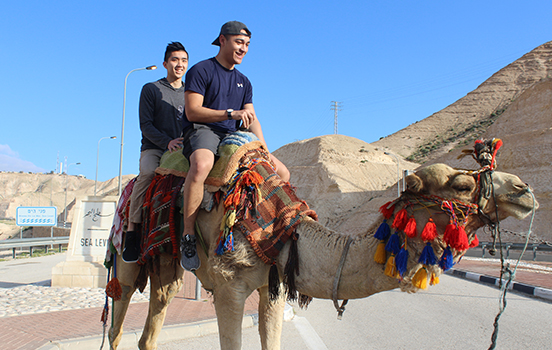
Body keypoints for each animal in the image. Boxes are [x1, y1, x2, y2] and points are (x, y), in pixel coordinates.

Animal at [105, 157, 536, 350]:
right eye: (462, 185)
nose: (523, 190)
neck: (281, 233)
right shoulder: (229, 287)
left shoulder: (273, 285)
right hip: (125, 255)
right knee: (117, 318)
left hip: (167, 263)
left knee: (156, 313)